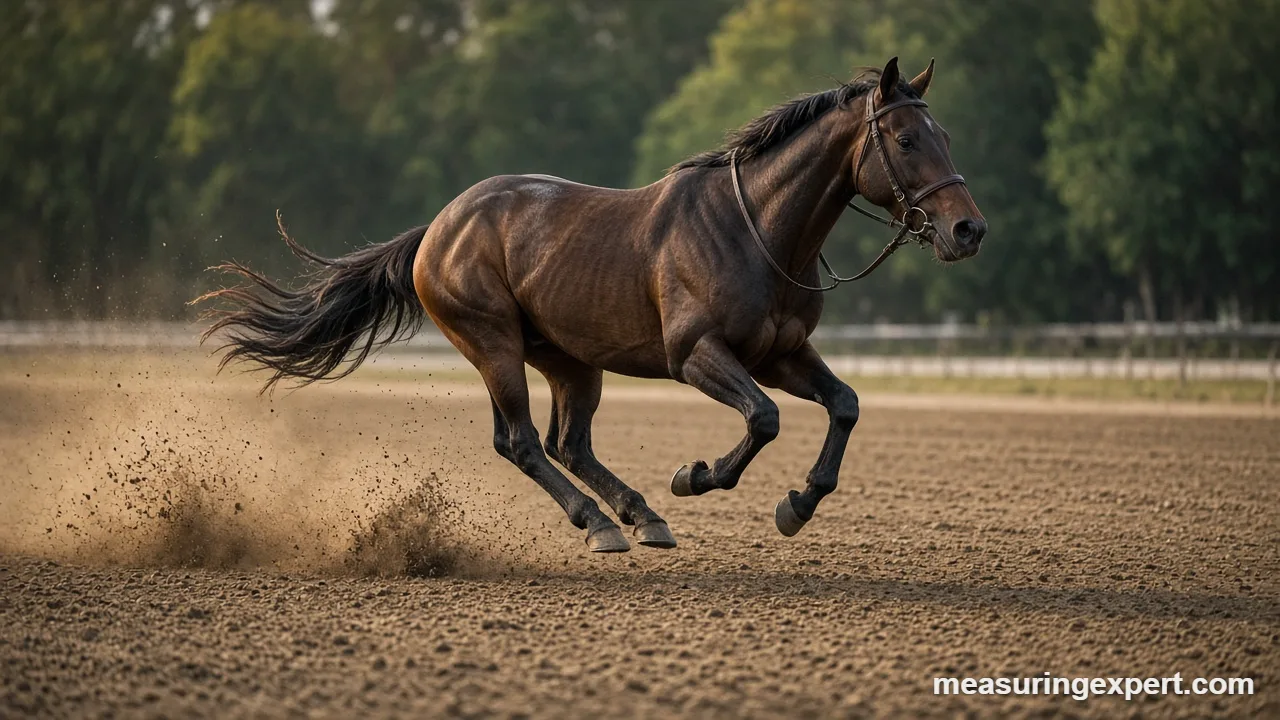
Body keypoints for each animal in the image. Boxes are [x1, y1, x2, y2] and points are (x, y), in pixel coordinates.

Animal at [198, 58, 986, 553]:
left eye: (947, 135)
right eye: (907, 138)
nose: (967, 230)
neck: (757, 228)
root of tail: (438, 229)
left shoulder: (781, 352)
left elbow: (844, 404)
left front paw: (796, 505)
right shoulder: (697, 355)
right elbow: (762, 418)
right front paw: (696, 476)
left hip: (571, 361)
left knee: (566, 443)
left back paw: (639, 516)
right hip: (494, 345)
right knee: (522, 442)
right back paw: (604, 522)